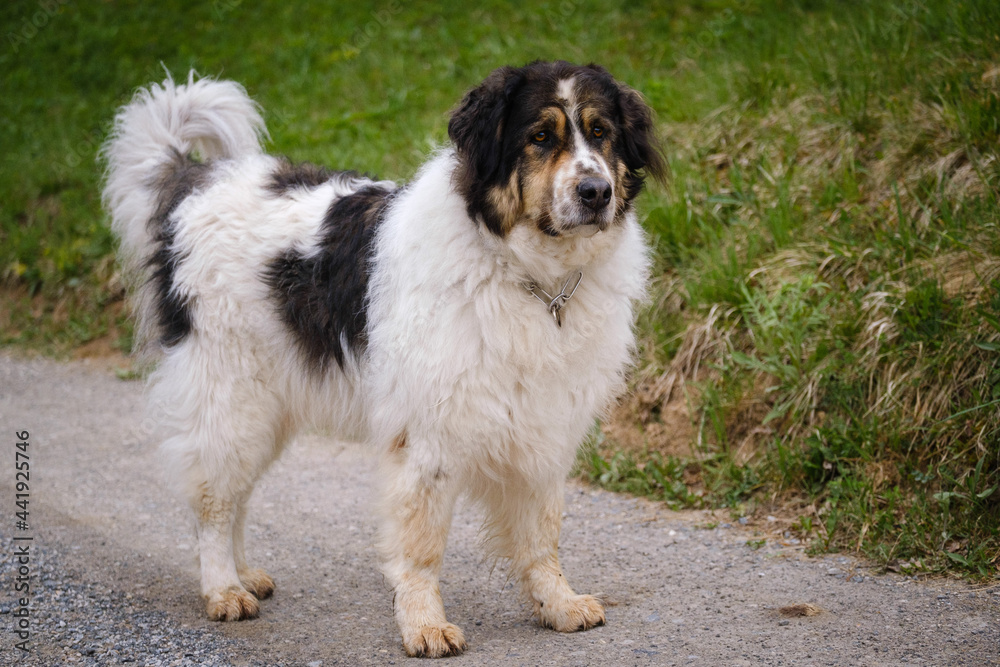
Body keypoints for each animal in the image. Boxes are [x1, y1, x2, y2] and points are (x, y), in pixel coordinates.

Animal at [101, 60, 664, 656]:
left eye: (601, 133)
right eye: (539, 137)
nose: (596, 191)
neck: (530, 277)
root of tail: (193, 184)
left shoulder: (544, 425)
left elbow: (541, 535)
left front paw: (557, 603)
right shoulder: (426, 438)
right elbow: (421, 546)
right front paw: (424, 625)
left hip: (267, 406)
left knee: (236, 494)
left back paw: (245, 573)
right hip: (230, 397)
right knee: (213, 500)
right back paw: (224, 588)